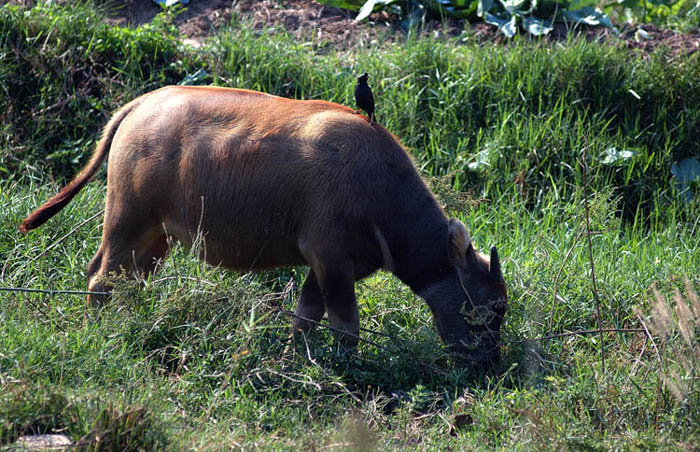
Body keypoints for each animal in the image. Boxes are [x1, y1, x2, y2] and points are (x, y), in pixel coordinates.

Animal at [19, 86, 506, 366]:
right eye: (487, 309)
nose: (488, 365)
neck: (380, 189)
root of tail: (143, 104)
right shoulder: (333, 261)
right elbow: (345, 325)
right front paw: (349, 368)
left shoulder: (321, 266)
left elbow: (306, 317)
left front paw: (295, 359)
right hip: (128, 219)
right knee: (101, 280)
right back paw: (103, 332)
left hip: (155, 237)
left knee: (124, 280)